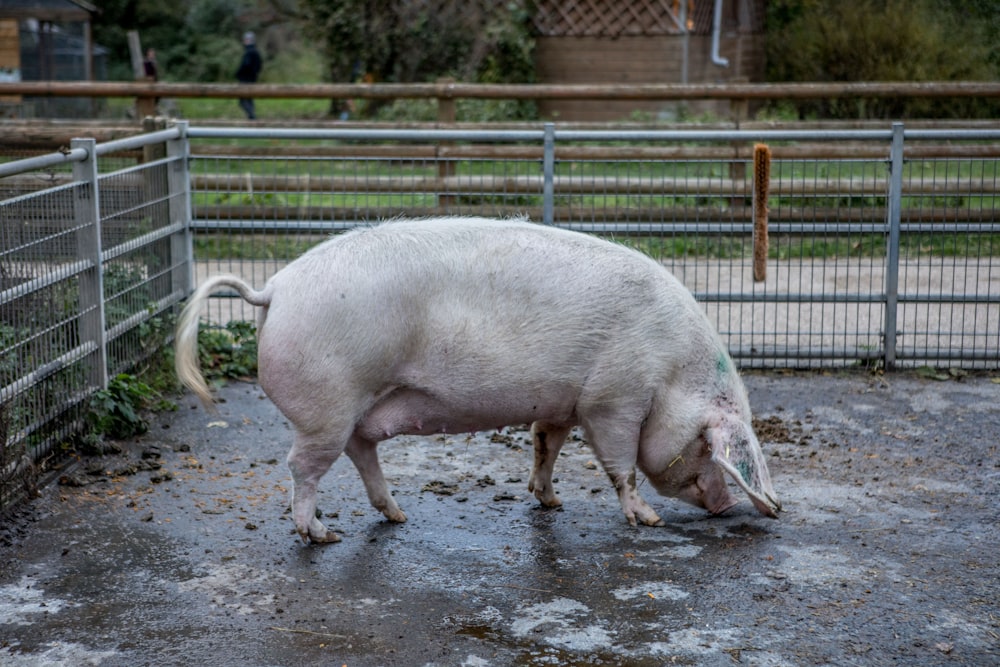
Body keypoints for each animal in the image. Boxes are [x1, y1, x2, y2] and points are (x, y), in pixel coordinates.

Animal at [176, 217, 776, 544]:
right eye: (708, 445)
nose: (730, 507)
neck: (671, 374)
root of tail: (272, 288)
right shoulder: (613, 400)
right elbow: (620, 464)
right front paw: (647, 521)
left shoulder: (562, 403)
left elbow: (545, 446)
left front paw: (551, 503)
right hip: (324, 406)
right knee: (303, 467)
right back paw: (322, 535)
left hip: (350, 412)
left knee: (361, 452)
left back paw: (398, 515)